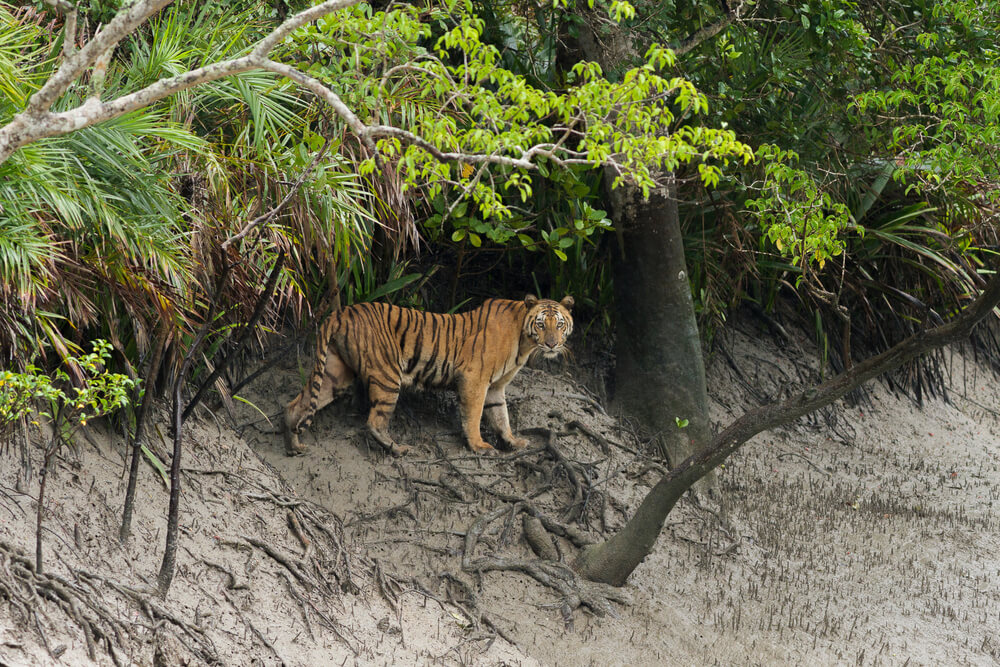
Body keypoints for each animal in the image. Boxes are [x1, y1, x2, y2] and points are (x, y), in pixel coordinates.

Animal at [284, 294, 574, 456]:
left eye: (560, 324)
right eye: (541, 324)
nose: (552, 344)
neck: (524, 342)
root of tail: (341, 311)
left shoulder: (495, 387)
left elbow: (501, 416)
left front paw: (513, 442)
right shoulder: (475, 379)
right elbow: (474, 415)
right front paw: (479, 446)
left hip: (335, 373)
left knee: (296, 404)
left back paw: (293, 445)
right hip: (388, 375)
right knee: (374, 421)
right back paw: (398, 449)